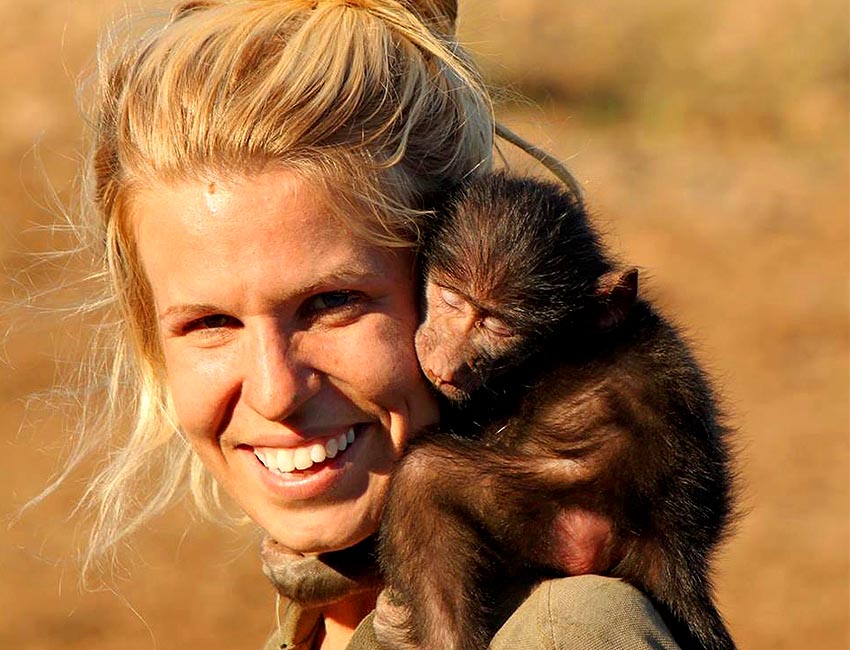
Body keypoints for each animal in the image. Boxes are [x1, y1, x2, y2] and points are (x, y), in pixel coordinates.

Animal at [375, 172, 736, 650]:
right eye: (451, 298)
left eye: (498, 326)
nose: (447, 363)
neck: (550, 350)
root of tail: (670, 543)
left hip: (563, 515)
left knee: (423, 477)